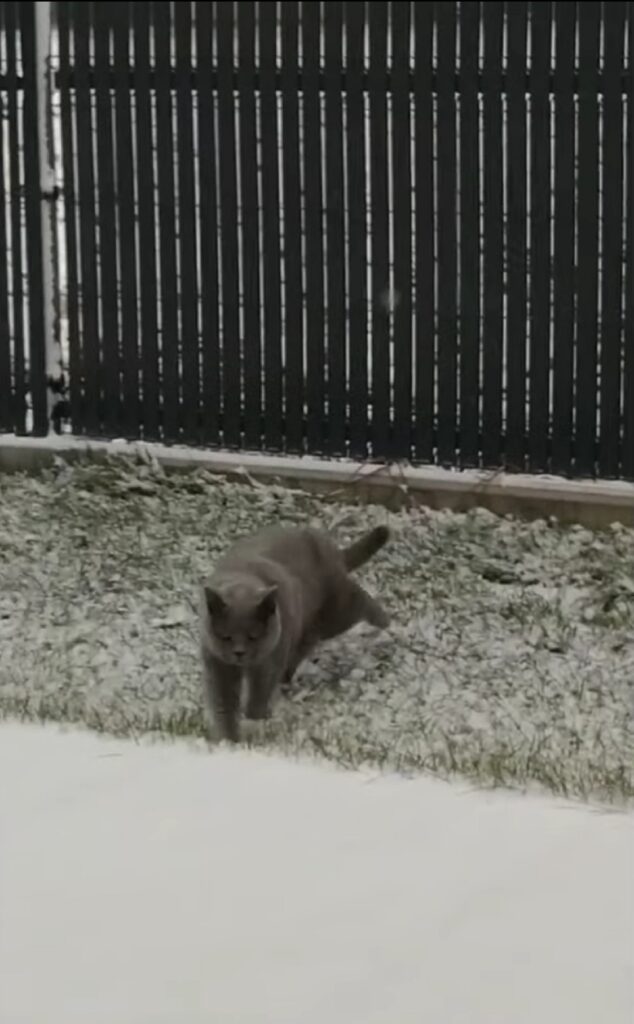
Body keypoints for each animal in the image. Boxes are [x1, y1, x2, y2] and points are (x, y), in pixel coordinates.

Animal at [201, 524, 391, 741]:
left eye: (253, 636)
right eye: (225, 637)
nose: (239, 652)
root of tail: (331, 549)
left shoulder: (271, 660)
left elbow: (260, 692)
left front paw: (254, 719)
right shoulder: (217, 664)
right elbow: (223, 703)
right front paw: (229, 739)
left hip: (334, 612)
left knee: (359, 598)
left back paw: (386, 624)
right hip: (308, 624)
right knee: (306, 644)